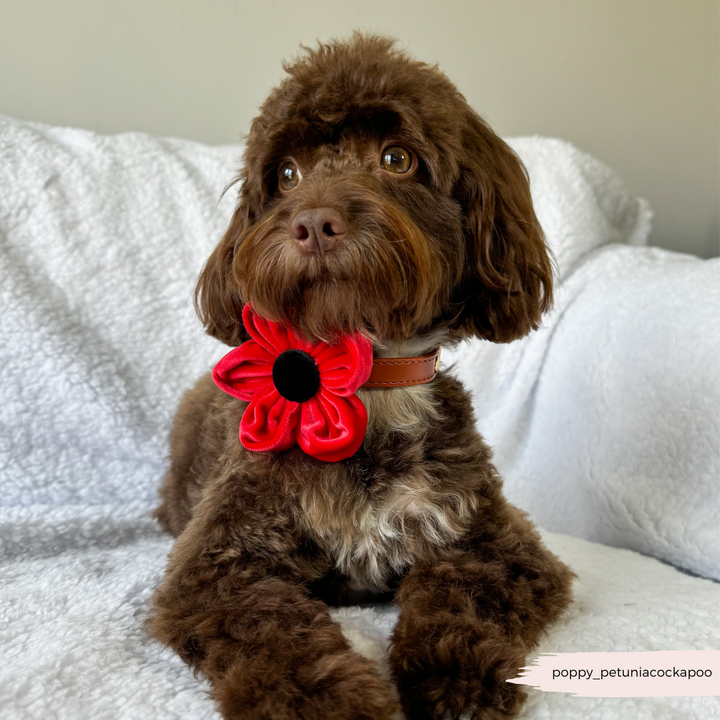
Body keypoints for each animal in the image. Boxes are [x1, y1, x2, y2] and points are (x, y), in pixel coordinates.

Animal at [146, 31, 572, 716]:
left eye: (397, 158)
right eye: (286, 174)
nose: (313, 223)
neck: (365, 385)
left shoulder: (501, 546)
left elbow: (459, 591)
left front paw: (453, 676)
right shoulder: (216, 566)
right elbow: (272, 630)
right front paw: (330, 699)